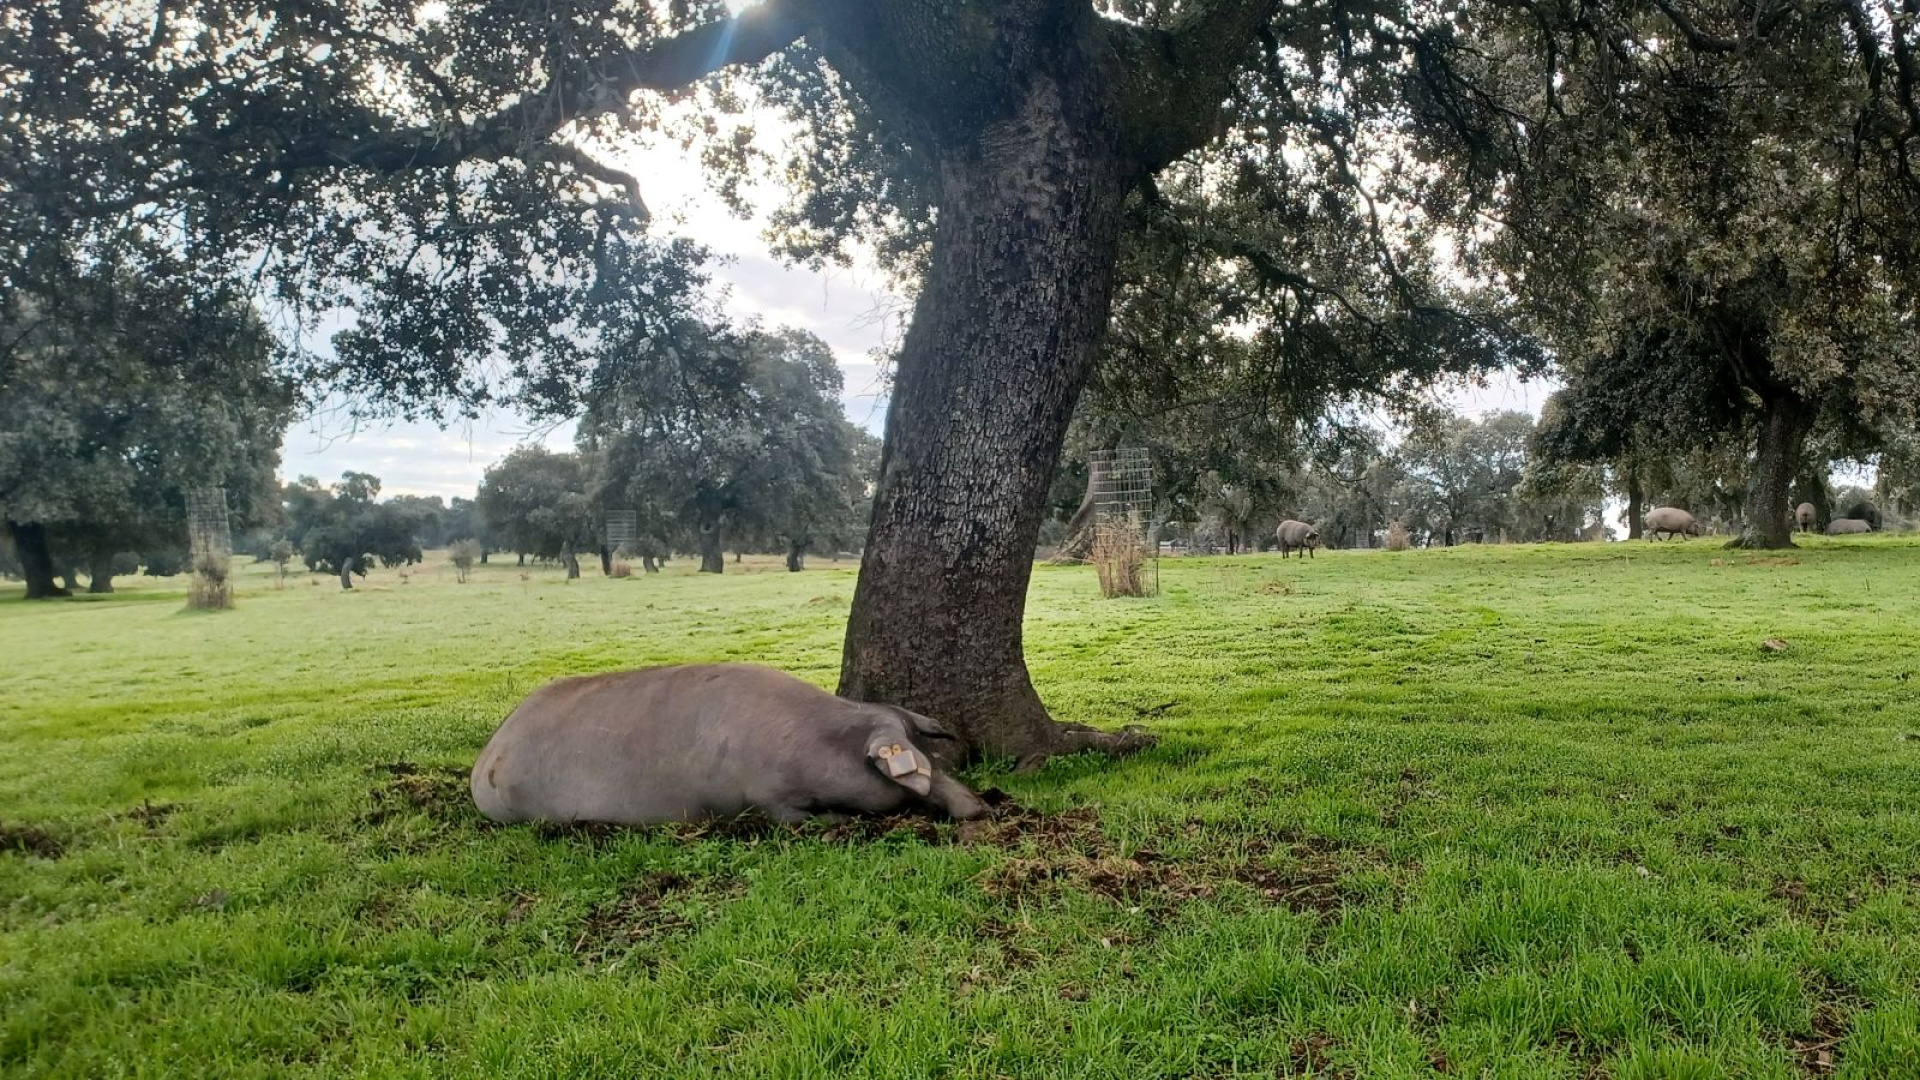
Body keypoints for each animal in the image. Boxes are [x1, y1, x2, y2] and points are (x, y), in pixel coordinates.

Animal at [470, 663, 989, 827]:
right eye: (918, 761)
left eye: (929, 749)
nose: (982, 805)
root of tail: (488, 754)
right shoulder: (764, 796)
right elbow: (793, 818)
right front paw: (839, 820)